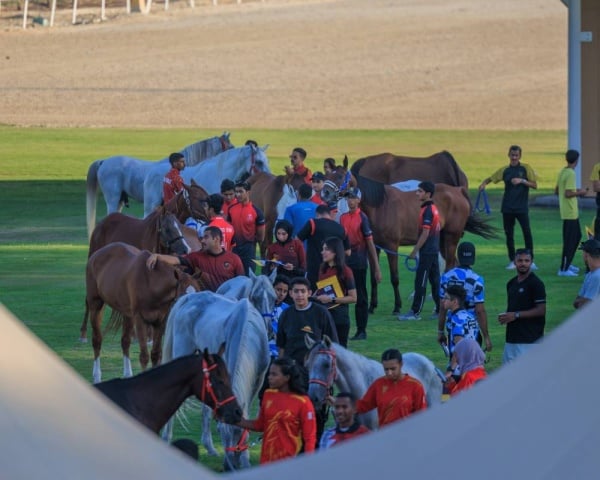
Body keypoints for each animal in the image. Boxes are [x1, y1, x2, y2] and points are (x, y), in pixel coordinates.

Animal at [82, 242, 204, 384]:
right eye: (183, 297)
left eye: (199, 292)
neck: (151, 281)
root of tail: (95, 256)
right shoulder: (140, 320)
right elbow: (144, 356)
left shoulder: (160, 321)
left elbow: (156, 354)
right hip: (96, 305)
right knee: (97, 340)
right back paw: (97, 376)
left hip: (127, 313)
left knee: (125, 341)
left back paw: (127, 373)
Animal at [162, 290, 270, 470]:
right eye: (220, 431)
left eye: (236, 433)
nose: (228, 466)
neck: (247, 330)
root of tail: (189, 297)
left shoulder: (258, 380)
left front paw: (245, 460)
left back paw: (210, 448)